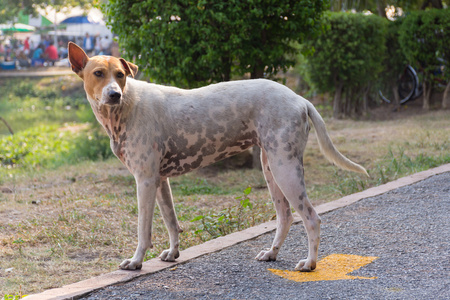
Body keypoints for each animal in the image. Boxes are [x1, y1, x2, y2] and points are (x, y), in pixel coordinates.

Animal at [68, 41, 368, 272]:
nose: (114, 94)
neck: (127, 108)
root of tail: (301, 99)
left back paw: (310, 263)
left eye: (120, 75)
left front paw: (136, 261)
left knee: (311, 218)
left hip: (286, 169)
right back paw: (271, 253)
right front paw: (173, 253)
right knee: (285, 216)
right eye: (98, 73)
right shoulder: (160, 181)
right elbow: (172, 222)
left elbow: (144, 231)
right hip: (271, 168)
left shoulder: (144, 181)